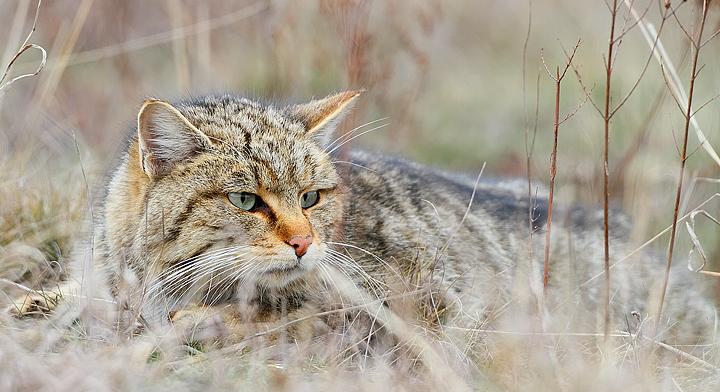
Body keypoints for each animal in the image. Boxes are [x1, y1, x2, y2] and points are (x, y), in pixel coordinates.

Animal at [9, 90, 716, 348]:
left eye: (312, 198)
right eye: (246, 202)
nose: (303, 243)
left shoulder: (416, 302)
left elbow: (279, 316)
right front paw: (37, 306)